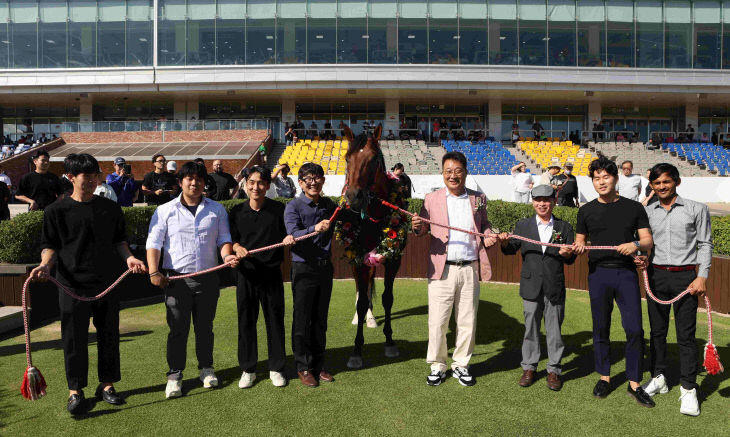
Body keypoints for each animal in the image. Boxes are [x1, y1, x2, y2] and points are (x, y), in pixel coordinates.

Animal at [336, 123, 404, 368]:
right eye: (347, 158)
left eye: (374, 160)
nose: (353, 196)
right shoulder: (357, 257)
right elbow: (362, 300)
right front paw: (356, 350)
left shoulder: (394, 259)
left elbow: (387, 298)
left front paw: (390, 342)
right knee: (360, 290)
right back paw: (361, 318)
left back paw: (371, 318)